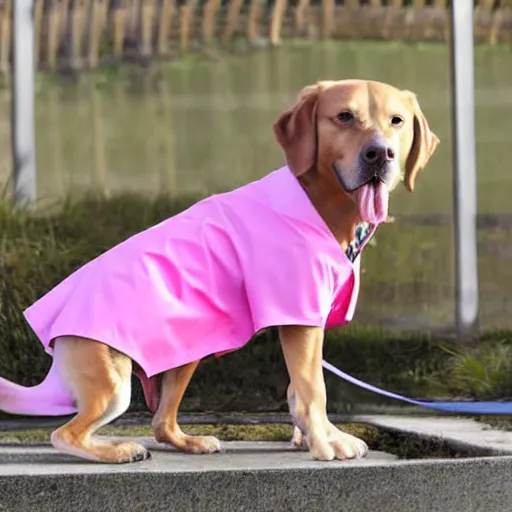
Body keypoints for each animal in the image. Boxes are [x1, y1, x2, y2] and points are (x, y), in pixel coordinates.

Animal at [0, 79, 440, 464]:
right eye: (344, 116)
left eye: (397, 121)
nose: (380, 154)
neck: (322, 201)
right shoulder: (299, 319)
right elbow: (314, 388)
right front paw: (326, 444)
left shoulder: (306, 323)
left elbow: (299, 388)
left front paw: (315, 437)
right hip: (114, 382)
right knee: (65, 434)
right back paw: (119, 450)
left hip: (184, 356)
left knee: (160, 422)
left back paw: (187, 441)